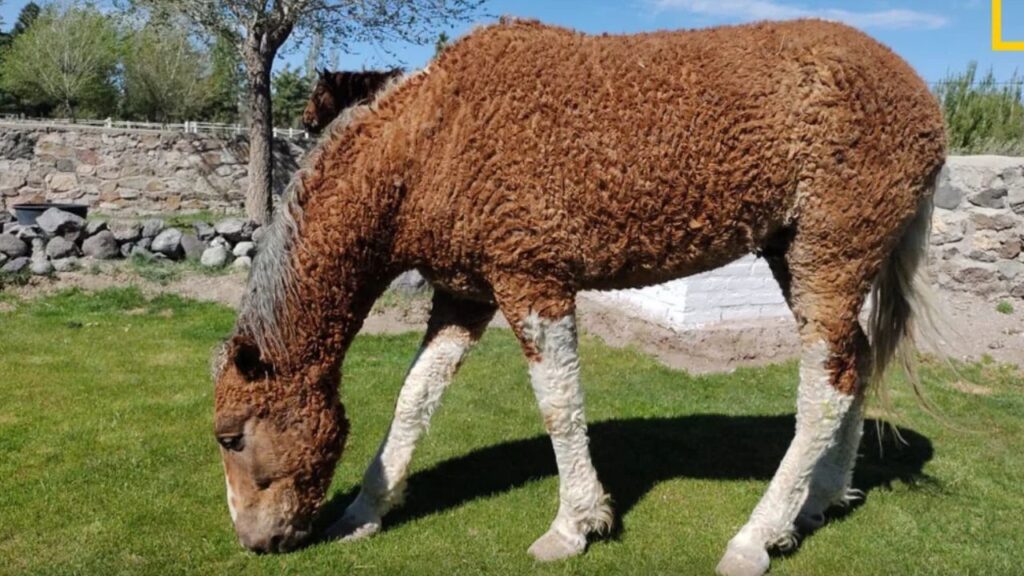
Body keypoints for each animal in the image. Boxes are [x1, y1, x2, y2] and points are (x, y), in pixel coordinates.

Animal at [213, 19, 946, 576]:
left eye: (231, 437)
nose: (253, 540)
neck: (431, 142)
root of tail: (924, 102)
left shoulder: (533, 284)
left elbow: (559, 406)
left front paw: (575, 524)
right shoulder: (462, 298)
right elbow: (415, 398)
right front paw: (367, 509)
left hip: (830, 253)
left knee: (825, 386)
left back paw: (756, 536)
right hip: (794, 255)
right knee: (853, 368)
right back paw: (820, 498)